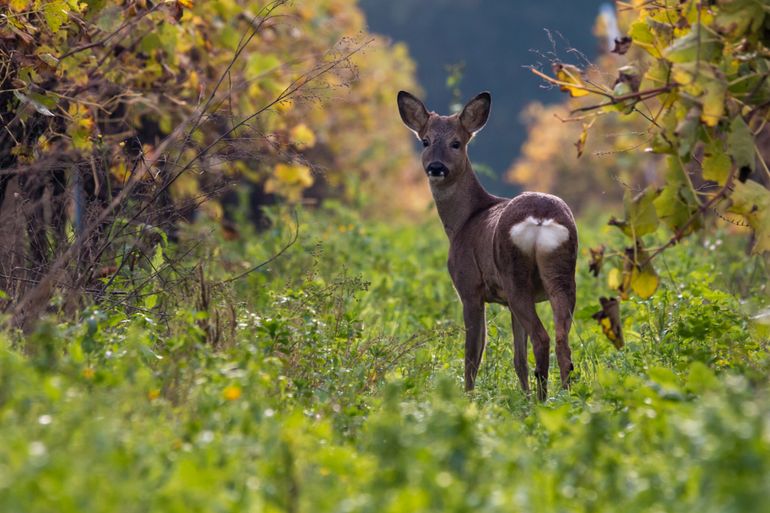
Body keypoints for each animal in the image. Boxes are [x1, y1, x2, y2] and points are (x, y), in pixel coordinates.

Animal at [400, 90, 572, 400]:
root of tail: (541, 218)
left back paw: (543, 399)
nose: (436, 167)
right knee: (562, 339)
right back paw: (564, 396)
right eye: (425, 141)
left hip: (515, 278)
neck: (464, 220)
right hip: (562, 274)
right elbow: (518, 359)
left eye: (456, 142)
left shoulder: (468, 287)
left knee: (542, 338)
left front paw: (467, 399)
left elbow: (473, 354)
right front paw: (523, 396)